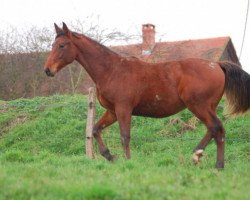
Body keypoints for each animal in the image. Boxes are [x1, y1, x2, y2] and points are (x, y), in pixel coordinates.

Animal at [44, 22, 250, 168]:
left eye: (62, 45)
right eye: (53, 44)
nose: (47, 70)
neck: (112, 70)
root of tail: (217, 65)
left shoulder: (123, 109)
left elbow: (124, 136)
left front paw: (127, 162)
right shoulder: (112, 111)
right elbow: (95, 129)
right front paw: (110, 156)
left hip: (199, 106)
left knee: (216, 128)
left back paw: (215, 164)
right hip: (206, 107)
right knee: (214, 129)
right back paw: (198, 156)